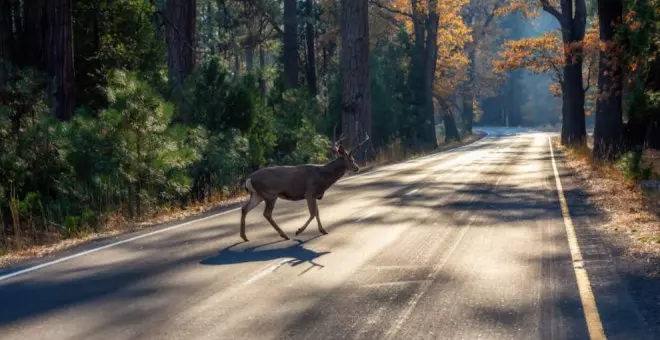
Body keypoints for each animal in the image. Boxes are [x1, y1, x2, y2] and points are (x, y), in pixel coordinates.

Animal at [238, 127, 372, 242]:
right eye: (351, 159)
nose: (357, 168)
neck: (322, 177)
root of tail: (249, 178)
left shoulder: (315, 195)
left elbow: (317, 212)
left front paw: (323, 230)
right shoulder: (309, 192)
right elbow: (312, 213)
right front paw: (299, 231)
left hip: (258, 195)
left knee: (245, 208)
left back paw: (244, 236)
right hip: (270, 194)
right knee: (266, 213)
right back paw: (284, 235)